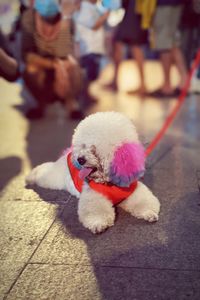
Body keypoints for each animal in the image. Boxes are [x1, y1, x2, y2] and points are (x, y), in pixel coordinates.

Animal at [27, 111, 161, 233]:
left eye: (94, 150)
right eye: (83, 146)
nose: (80, 159)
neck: (111, 183)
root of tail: (67, 154)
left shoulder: (133, 191)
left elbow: (144, 202)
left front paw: (149, 213)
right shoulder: (94, 195)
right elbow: (96, 211)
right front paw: (98, 223)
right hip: (53, 178)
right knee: (43, 171)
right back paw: (30, 177)